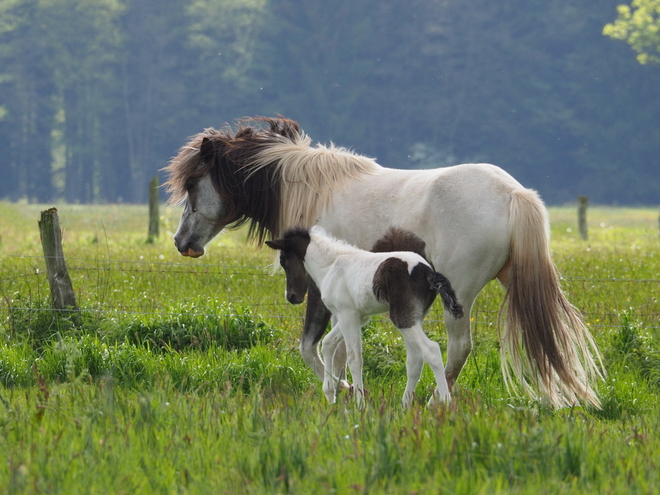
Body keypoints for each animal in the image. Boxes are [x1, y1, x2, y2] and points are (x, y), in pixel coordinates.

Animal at [266, 227, 462, 408]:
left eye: (283, 260)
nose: (292, 297)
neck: (330, 266)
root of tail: (428, 272)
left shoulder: (347, 314)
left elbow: (354, 358)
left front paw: (360, 404)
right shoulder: (356, 316)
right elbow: (328, 343)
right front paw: (331, 393)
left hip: (402, 318)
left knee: (431, 350)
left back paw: (445, 402)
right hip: (415, 317)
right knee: (415, 360)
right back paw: (405, 405)